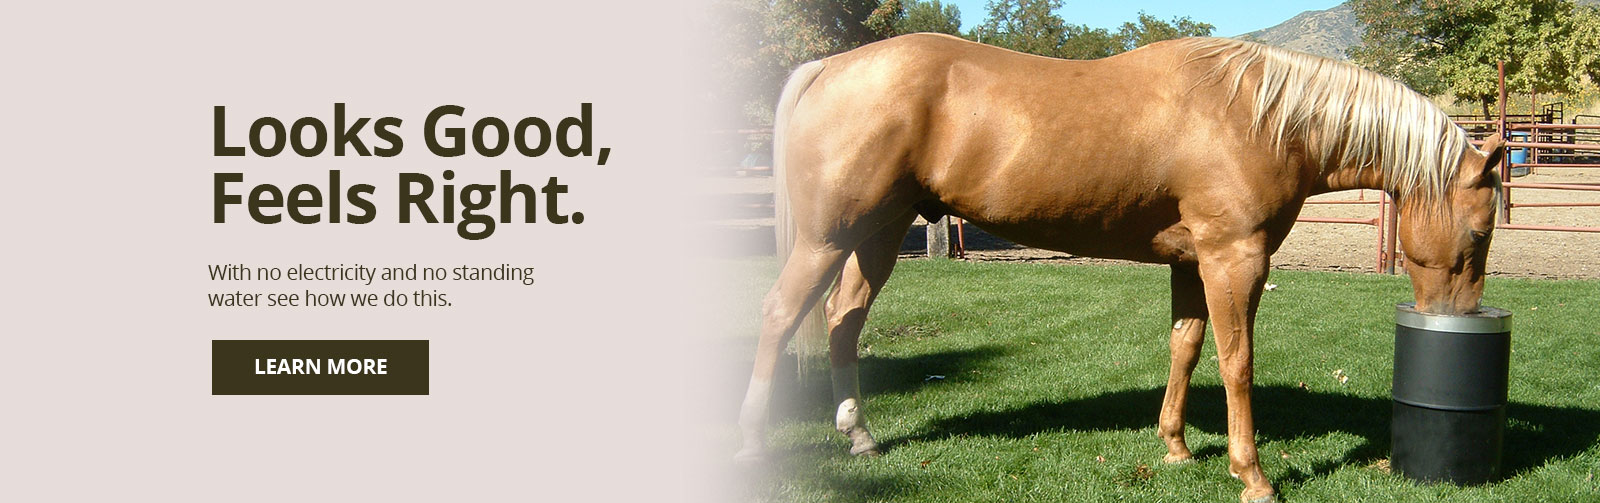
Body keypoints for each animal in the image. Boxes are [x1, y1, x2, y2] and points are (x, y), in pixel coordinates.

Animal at [735, 33, 1504, 503]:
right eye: (1478, 230)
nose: (1459, 319)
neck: (1260, 116)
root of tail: (829, 66)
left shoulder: (1192, 262)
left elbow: (1186, 347)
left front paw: (1176, 446)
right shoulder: (1234, 258)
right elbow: (1237, 360)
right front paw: (1251, 473)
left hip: (879, 233)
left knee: (843, 320)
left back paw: (859, 435)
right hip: (827, 238)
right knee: (778, 315)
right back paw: (750, 440)